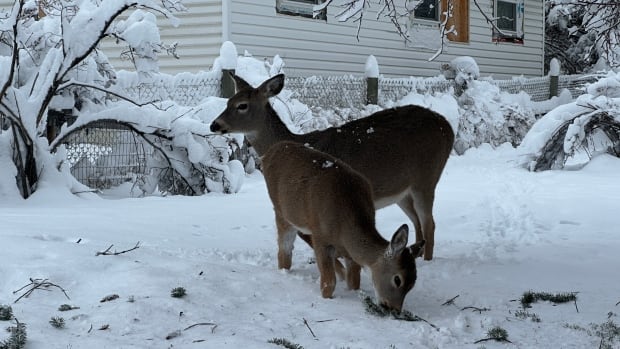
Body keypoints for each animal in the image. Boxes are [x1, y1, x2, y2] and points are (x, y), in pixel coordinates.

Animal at [211, 73, 452, 260]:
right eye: (227, 102)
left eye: (242, 106)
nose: (214, 124)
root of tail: (447, 127)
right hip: (402, 190)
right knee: (417, 222)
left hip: (427, 177)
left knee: (429, 223)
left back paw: (428, 260)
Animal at [262, 139, 426, 310]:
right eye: (397, 279)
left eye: (412, 284)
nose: (393, 309)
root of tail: (270, 151)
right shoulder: (321, 236)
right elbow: (328, 283)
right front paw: (328, 299)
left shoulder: (349, 252)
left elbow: (354, 281)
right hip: (281, 211)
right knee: (284, 251)